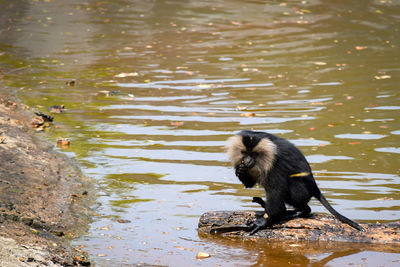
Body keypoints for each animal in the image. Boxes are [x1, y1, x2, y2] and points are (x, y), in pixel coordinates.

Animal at [227, 131, 364, 236]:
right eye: (244, 153)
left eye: (255, 154)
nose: (247, 161)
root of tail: (315, 188)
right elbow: (249, 184)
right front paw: (240, 171)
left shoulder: (276, 163)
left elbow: (276, 191)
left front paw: (265, 222)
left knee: (294, 187)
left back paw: (298, 211)